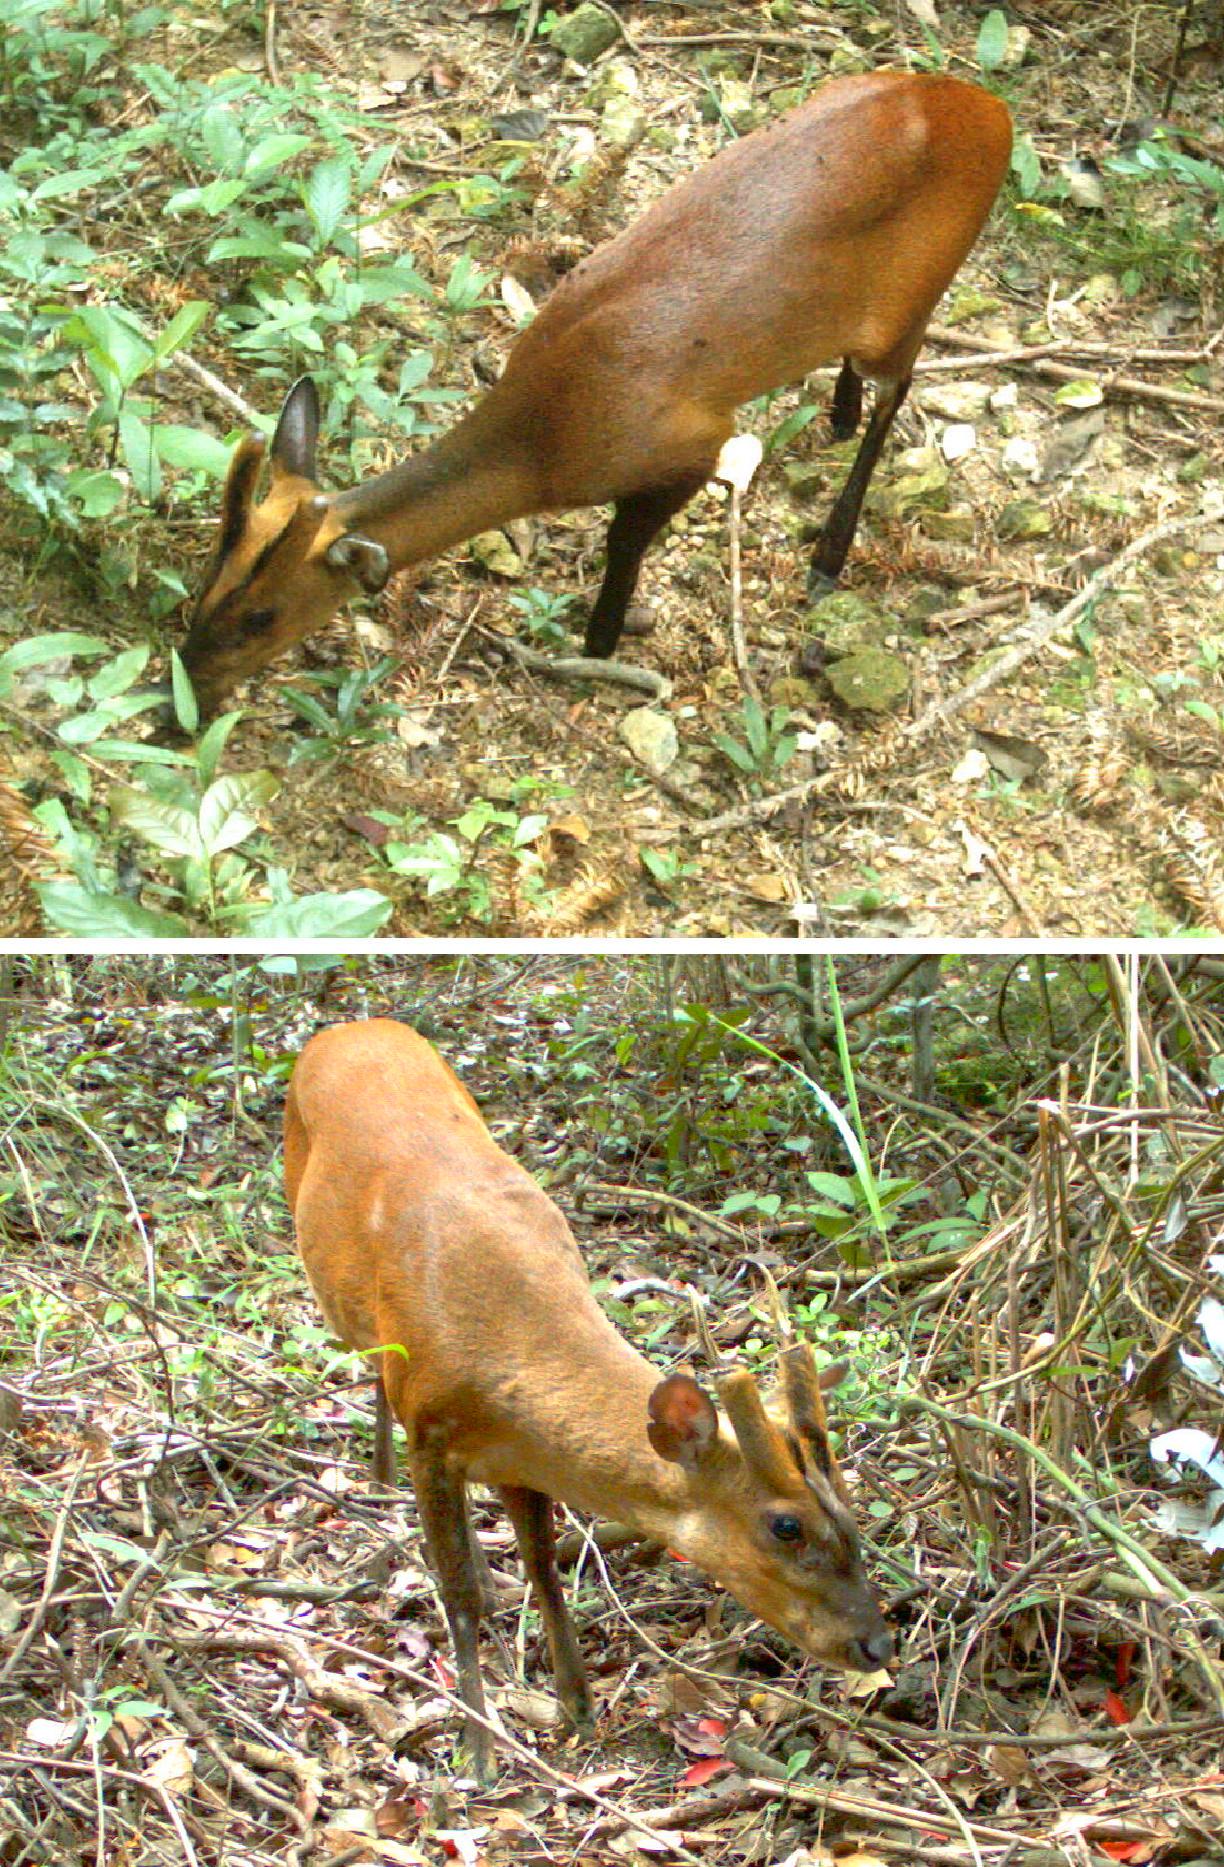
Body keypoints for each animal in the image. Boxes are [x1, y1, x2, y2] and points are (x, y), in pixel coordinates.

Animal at [177, 70, 1007, 713]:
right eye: (208, 576)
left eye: (262, 617)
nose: (185, 682)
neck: (542, 436)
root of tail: (988, 107)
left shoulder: (687, 443)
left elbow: (624, 539)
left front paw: (600, 641)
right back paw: (837, 413)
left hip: (907, 305)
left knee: (900, 389)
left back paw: (831, 551)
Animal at [289, 1023, 899, 1777]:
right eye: (786, 1526)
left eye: (851, 1511)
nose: (878, 1645)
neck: (503, 1336)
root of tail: (348, 1027)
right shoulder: (429, 1434)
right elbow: (458, 1595)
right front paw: (476, 1748)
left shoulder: (518, 1459)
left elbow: (545, 1569)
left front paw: (576, 1703)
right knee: (367, 1362)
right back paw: (376, 1476)